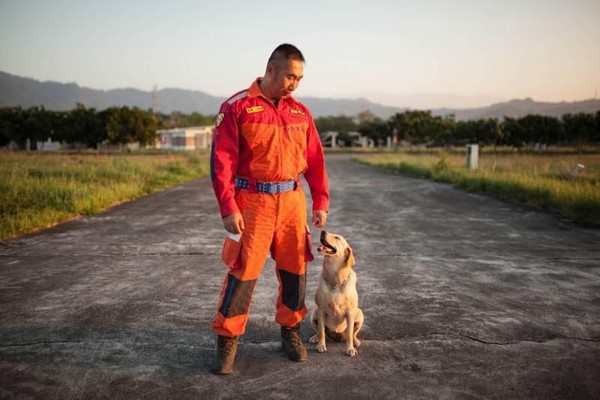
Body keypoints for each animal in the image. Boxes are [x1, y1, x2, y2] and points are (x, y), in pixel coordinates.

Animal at [312, 230, 364, 358]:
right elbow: (321, 331)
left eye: (337, 238)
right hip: (314, 313)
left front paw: (350, 348)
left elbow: (349, 333)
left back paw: (355, 341)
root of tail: (337, 337)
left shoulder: (350, 312)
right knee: (318, 330)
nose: (323, 231)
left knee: (353, 333)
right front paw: (321, 345)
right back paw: (315, 338)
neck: (335, 281)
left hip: (359, 313)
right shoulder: (321, 310)